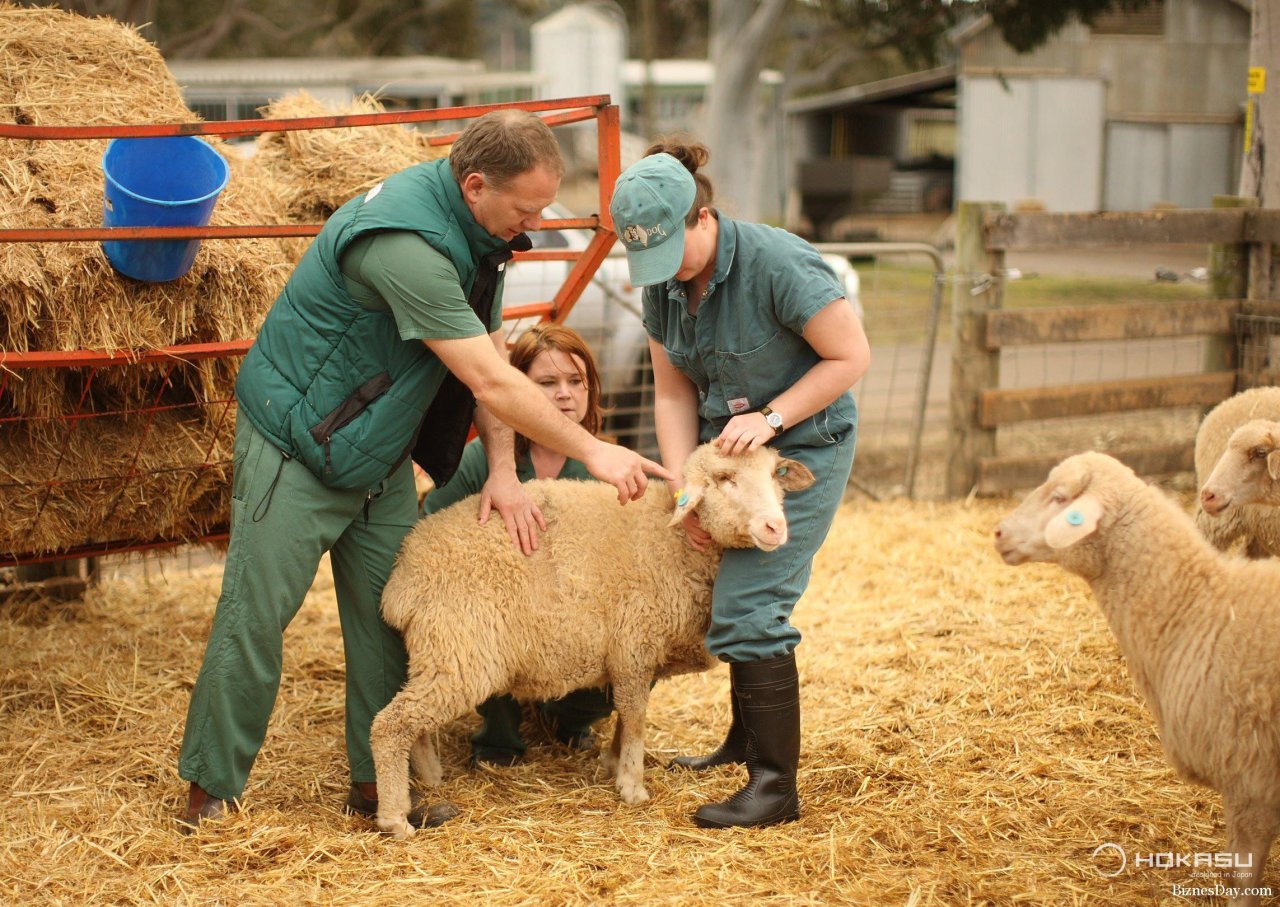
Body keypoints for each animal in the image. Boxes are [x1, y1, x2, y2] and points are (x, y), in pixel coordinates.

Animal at [371, 442, 814, 839]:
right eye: (724, 479)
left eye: (776, 474)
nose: (776, 527)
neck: (677, 542)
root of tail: (403, 575)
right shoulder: (635, 646)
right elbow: (635, 718)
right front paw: (632, 786)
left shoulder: (636, 658)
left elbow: (626, 716)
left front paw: (614, 763)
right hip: (461, 653)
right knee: (392, 724)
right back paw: (395, 816)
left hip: (438, 653)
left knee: (415, 723)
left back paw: (429, 778)